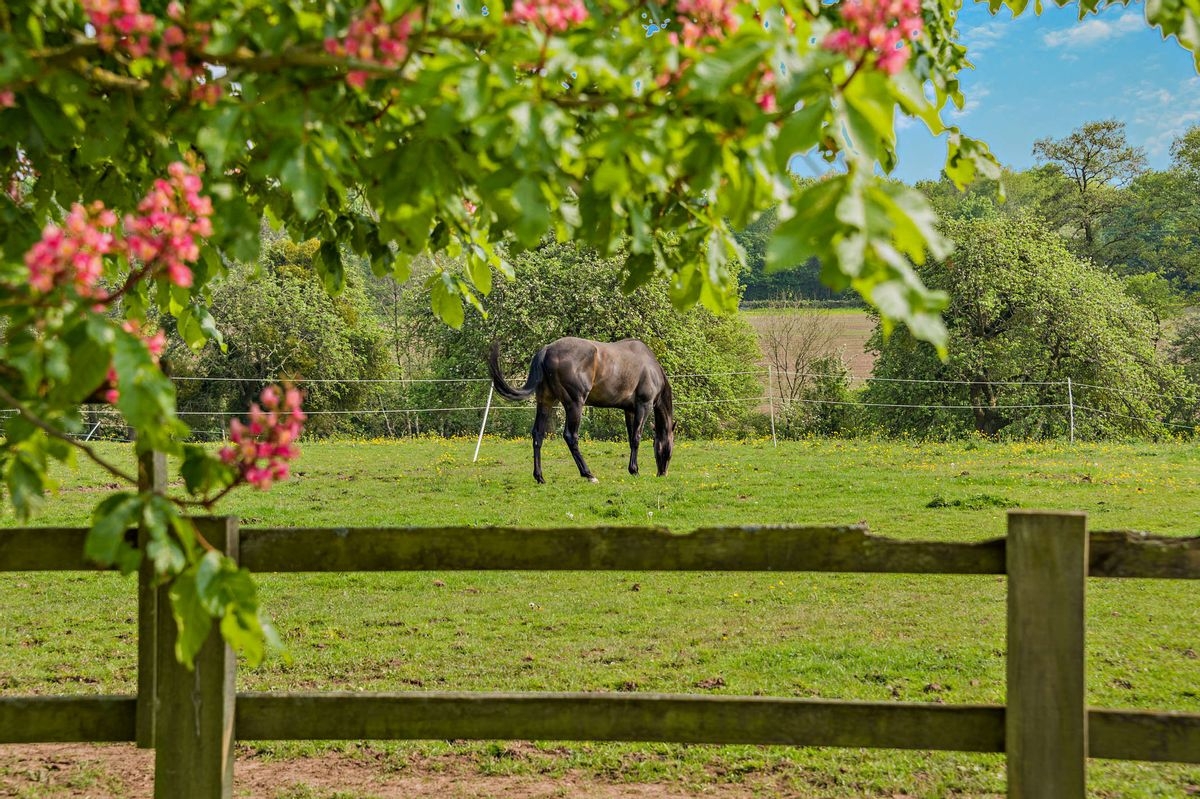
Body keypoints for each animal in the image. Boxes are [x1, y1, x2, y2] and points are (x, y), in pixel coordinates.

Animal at [487, 333, 676, 482]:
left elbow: (631, 438)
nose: (662, 473)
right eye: (670, 447)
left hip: (545, 402)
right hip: (575, 404)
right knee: (571, 436)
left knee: (538, 434)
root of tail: (546, 350)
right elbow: (636, 438)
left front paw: (632, 469)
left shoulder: (629, 410)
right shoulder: (644, 406)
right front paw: (635, 470)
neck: (651, 368)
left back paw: (540, 477)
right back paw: (588, 474)